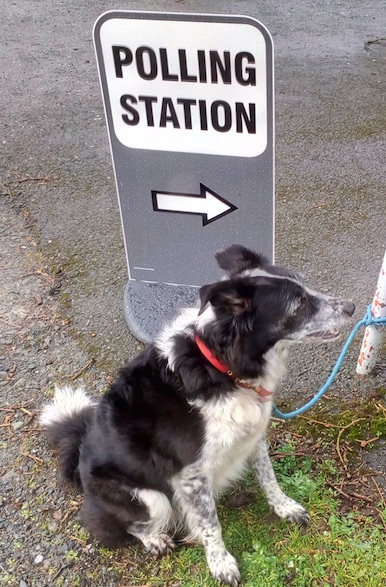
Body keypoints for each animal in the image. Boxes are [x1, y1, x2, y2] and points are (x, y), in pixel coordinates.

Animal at [40, 246, 356, 584]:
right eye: (298, 304)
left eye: (305, 288)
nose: (351, 307)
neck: (222, 368)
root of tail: (79, 452)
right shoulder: (191, 473)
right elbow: (210, 524)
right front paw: (221, 563)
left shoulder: (253, 436)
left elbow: (268, 478)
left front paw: (284, 508)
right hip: (149, 497)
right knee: (121, 525)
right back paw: (154, 539)